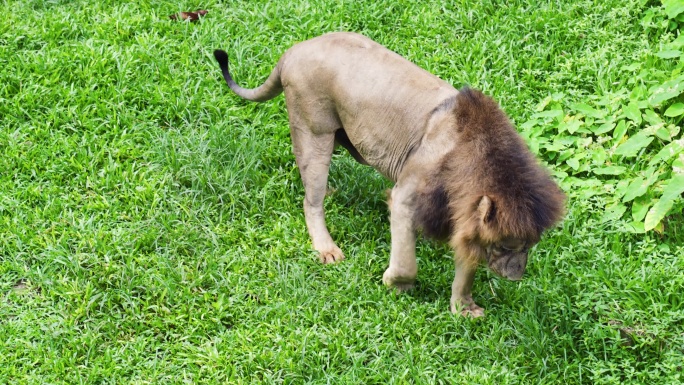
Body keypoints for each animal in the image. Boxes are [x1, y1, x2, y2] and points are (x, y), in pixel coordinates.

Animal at [214, 32, 568, 316]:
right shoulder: (406, 198)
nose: (515, 276)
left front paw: (463, 308)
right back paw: (326, 246)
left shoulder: (465, 218)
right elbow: (407, 262)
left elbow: (466, 266)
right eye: (507, 247)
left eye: (530, 246)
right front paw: (396, 285)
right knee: (309, 200)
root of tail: (294, 50)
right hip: (314, 131)